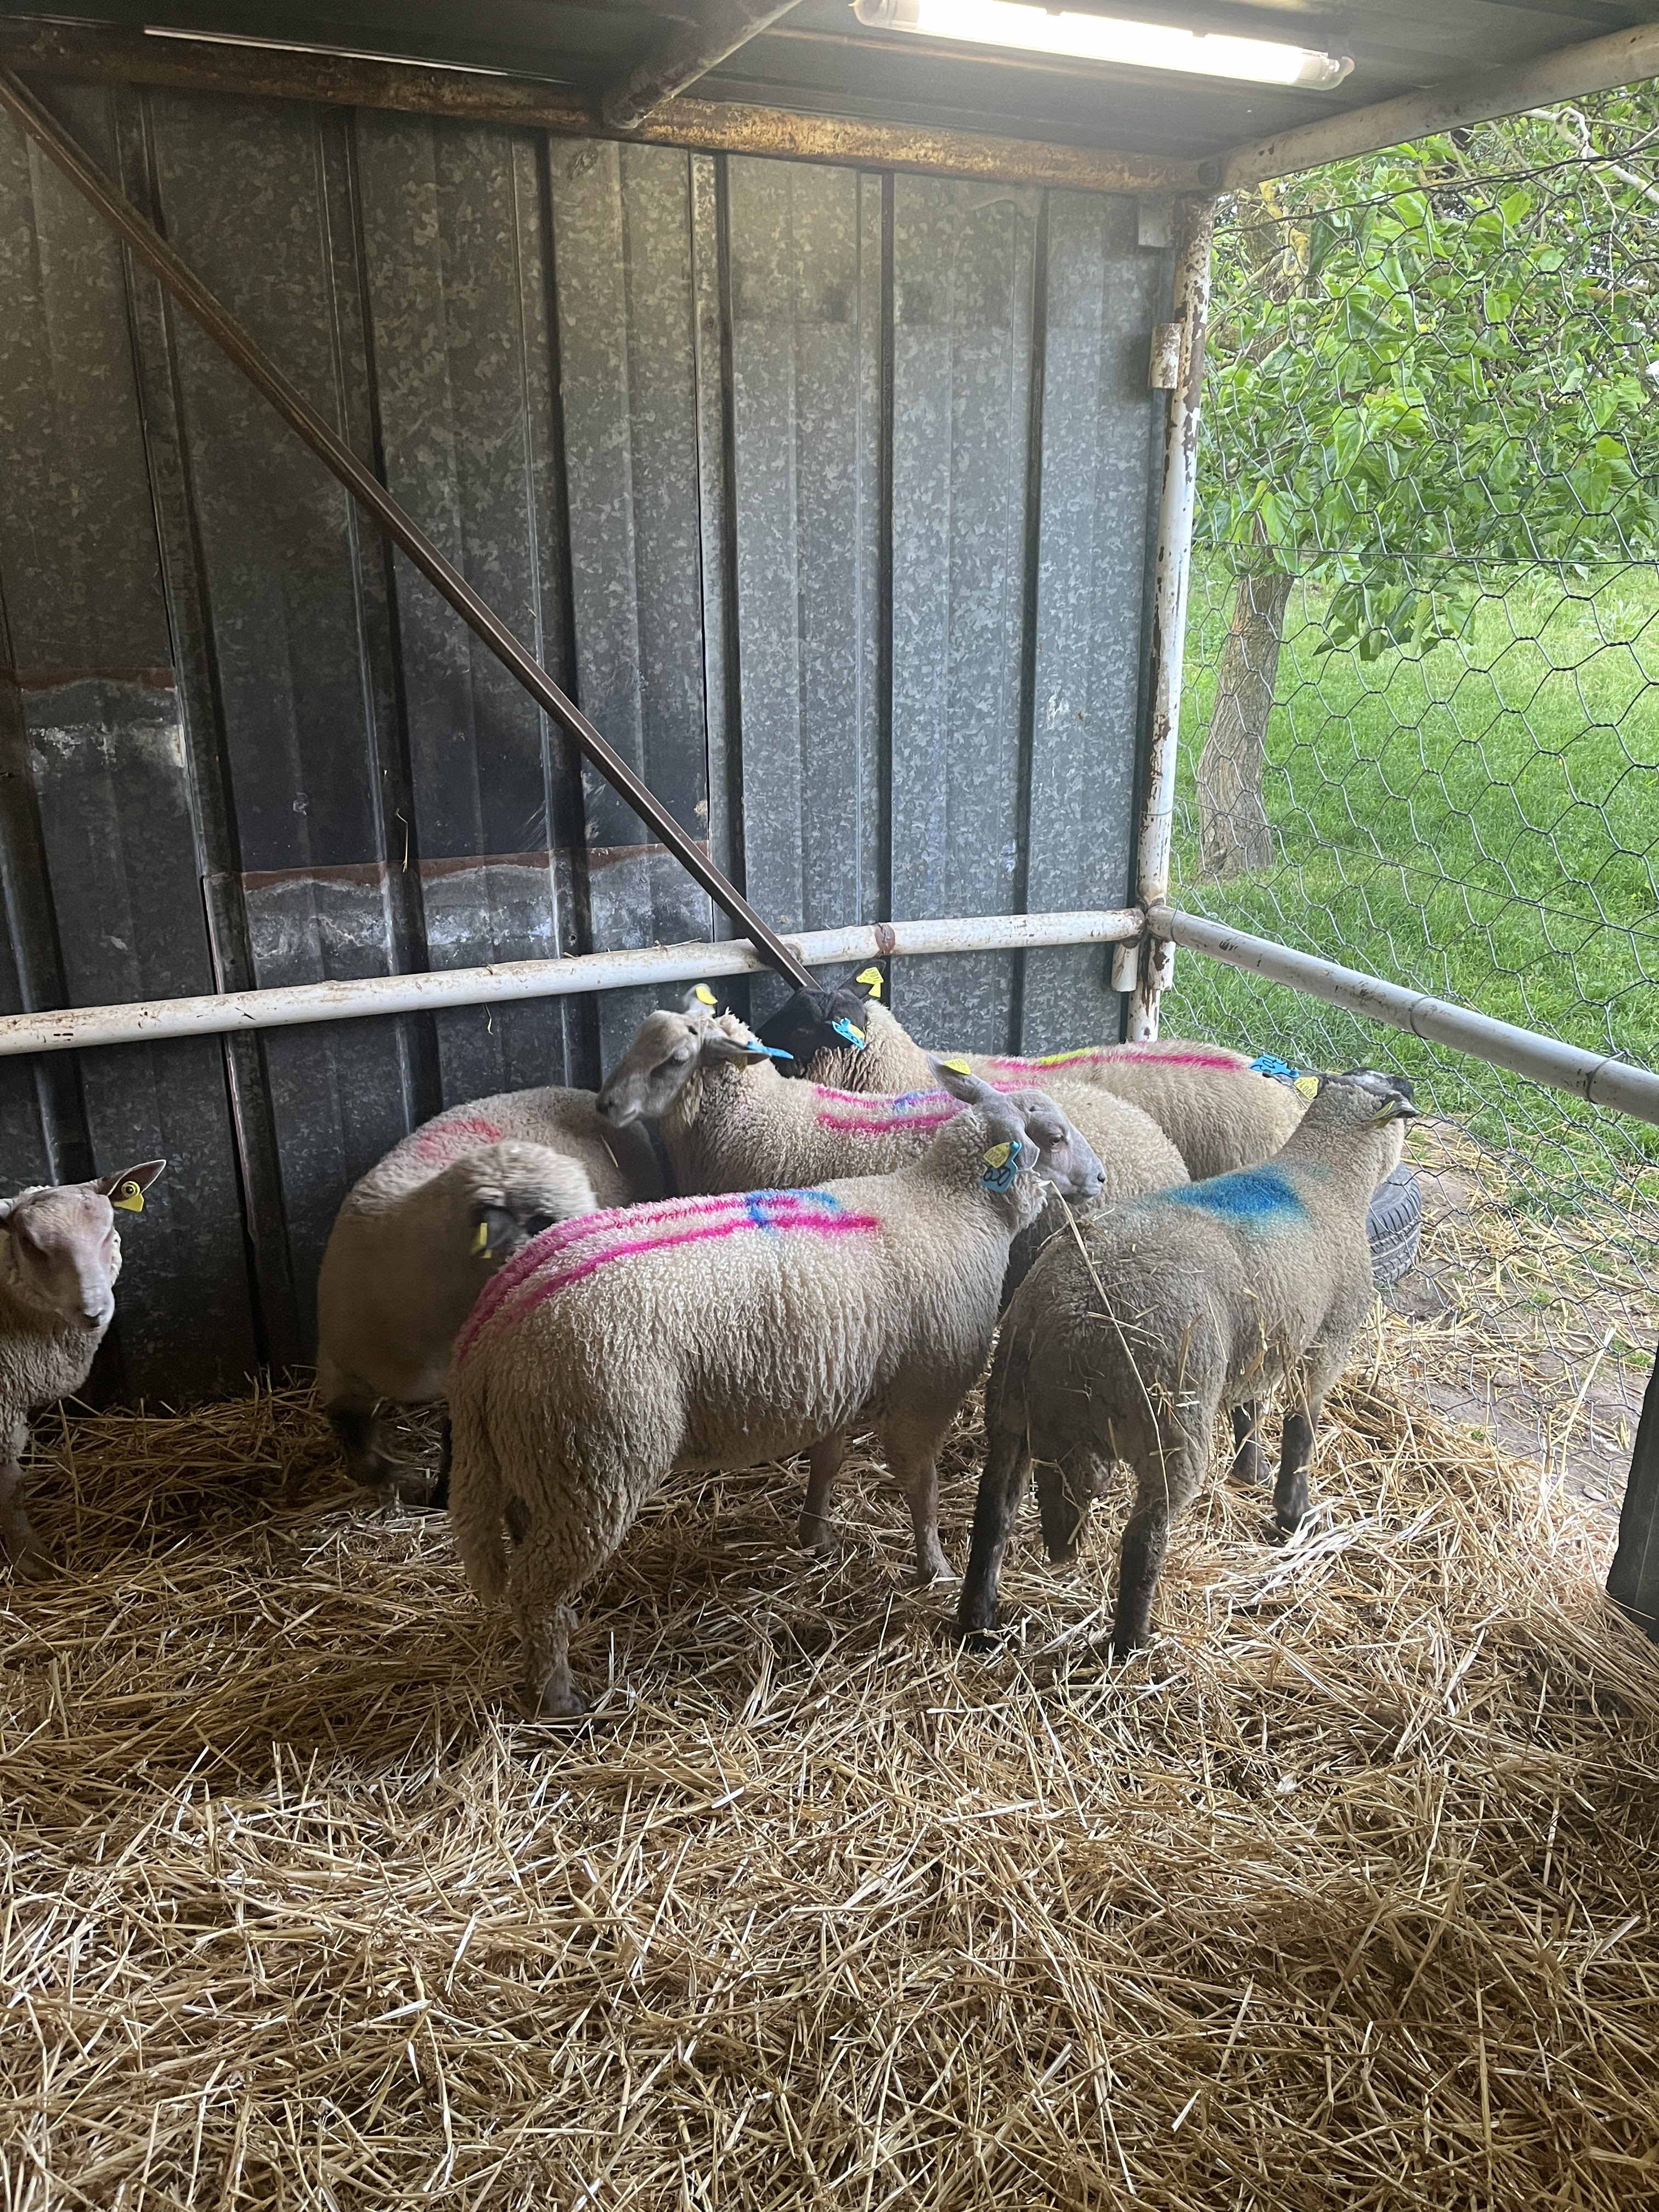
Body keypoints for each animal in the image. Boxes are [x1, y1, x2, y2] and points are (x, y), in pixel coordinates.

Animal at [447, 1082, 1060, 1716]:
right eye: (1053, 1138)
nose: (1092, 1187)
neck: (948, 1205)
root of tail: (485, 1339)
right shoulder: (925, 1391)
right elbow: (923, 1488)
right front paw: (935, 1568)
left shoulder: (839, 1379)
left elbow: (829, 1461)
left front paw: (817, 1538)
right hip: (595, 1464)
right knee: (534, 1589)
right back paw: (559, 1697)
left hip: (541, 1459)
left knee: (527, 1548)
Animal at [955, 1071, 1418, 1662]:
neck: (1326, 1173)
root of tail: (1071, 1319)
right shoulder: (1324, 1346)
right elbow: (1301, 1434)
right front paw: (1291, 1516)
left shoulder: (1261, 1340)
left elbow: (1249, 1410)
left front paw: (1250, 1471)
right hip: (1173, 1420)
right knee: (1142, 1538)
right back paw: (1132, 1645)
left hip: (1010, 1402)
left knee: (993, 1511)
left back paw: (978, 1621)